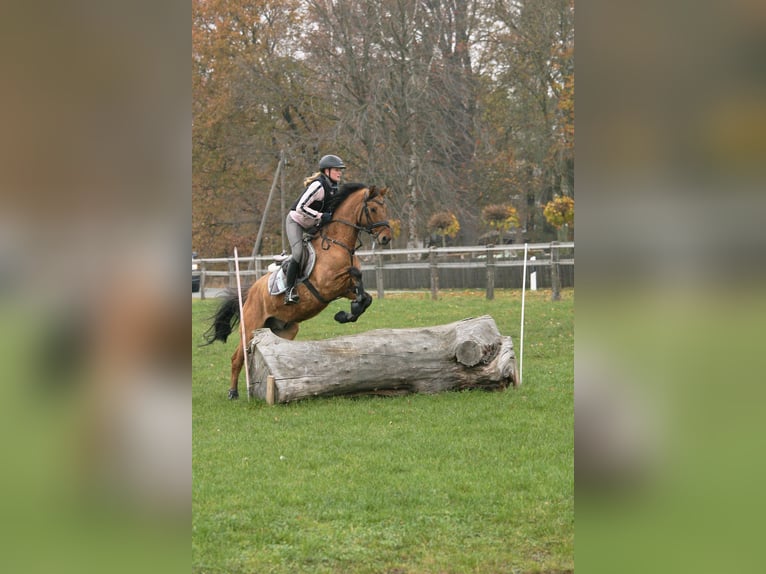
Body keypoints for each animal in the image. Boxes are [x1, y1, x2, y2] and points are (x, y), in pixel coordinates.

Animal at [202, 183, 392, 399]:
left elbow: (365, 296)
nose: (386, 238)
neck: (337, 242)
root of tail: (251, 292)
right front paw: (348, 311)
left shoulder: (344, 289)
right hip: (250, 325)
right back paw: (233, 393)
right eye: (373, 209)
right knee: (236, 357)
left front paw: (347, 314)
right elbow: (355, 274)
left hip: (285, 329)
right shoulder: (327, 285)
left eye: (385, 208)